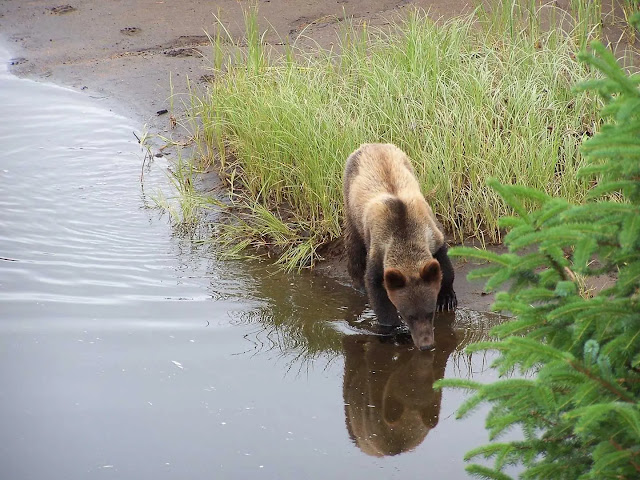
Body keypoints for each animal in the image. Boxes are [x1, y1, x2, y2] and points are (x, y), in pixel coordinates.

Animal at [342, 142, 458, 348]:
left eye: (430, 313)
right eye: (409, 315)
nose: (426, 344)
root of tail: (371, 144)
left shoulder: (431, 233)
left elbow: (444, 264)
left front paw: (447, 298)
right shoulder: (379, 249)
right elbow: (376, 287)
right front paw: (391, 329)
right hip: (351, 204)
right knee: (353, 246)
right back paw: (358, 285)